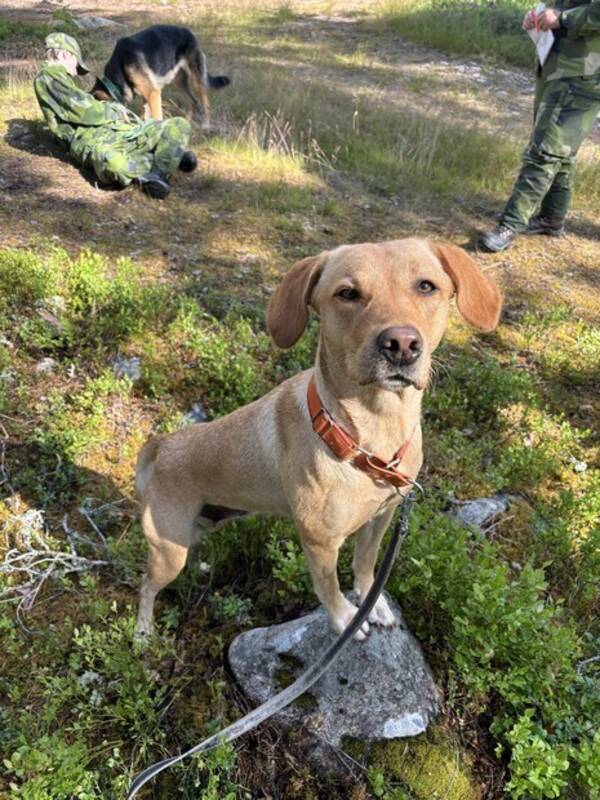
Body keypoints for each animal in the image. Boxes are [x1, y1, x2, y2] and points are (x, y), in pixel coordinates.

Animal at [92, 24, 231, 128]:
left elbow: (156, 118)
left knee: (205, 103)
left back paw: (206, 125)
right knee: (193, 101)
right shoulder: (146, 95)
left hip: (197, 81)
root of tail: (189, 32)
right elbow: (145, 116)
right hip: (178, 81)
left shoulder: (153, 93)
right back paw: (186, 122)